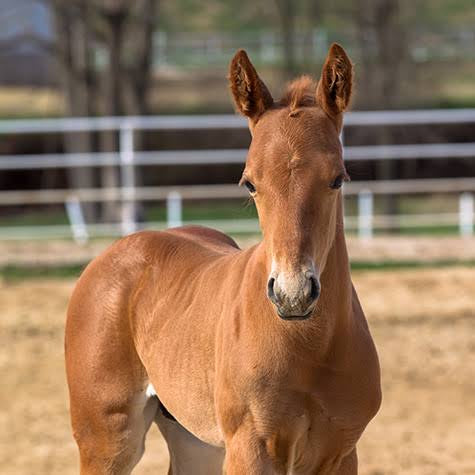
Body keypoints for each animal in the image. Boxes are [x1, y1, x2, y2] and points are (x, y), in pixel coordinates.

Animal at [65, 42, 382, 474]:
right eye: (249, 182)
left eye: (338, 178)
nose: (293, 294)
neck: (308, 346)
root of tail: (116, 251)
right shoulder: (250, 448)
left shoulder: (339, 452)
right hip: (107, 437)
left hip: (195, 440)